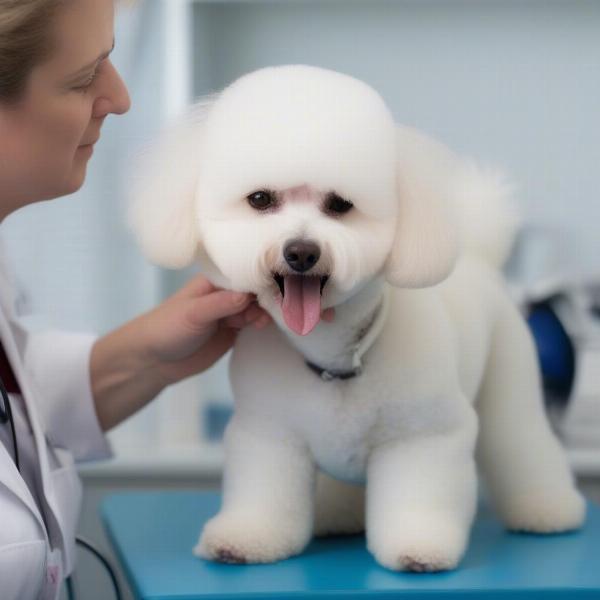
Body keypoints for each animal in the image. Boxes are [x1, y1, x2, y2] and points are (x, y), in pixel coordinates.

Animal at [129, 64, 584, 572]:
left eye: (340, 205)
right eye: (260, 199)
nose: (301, 251)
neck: (333, 354)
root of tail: (479, 257)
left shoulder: (423, 435)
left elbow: (419, 495)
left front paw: (418, 547)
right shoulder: (269, 433)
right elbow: (264, 494)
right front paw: (248, 537)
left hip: (510, 382)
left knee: (519, 442)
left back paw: (547, 509)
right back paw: (334, 515)